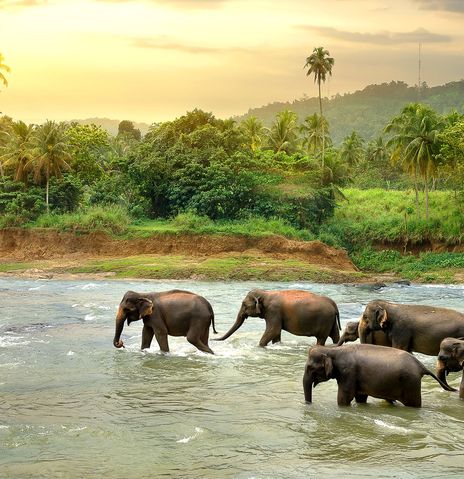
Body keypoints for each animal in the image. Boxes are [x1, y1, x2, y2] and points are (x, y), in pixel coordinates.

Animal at [300, 344, 454, 408]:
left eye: (310, 368)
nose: (308, 405)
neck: (332, 350)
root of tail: (421, 366)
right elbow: (360, 397)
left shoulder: (348, 372)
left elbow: (345, 397)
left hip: (411, 383)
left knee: (413, 404)